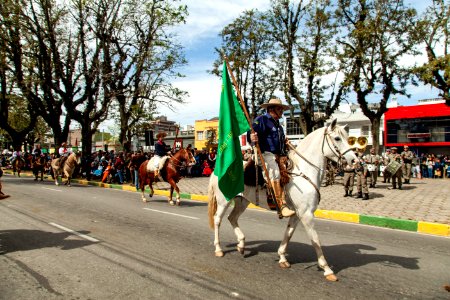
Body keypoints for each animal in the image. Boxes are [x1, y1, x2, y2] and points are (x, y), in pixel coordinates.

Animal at [208, 119, 358, 282]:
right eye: (337, 138)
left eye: (348, 138)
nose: (354, 160)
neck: (303, 171)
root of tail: (217, 171)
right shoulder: (306, 214)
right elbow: (315, 240)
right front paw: (327, 269)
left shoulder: (297, 214)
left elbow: (289, 233)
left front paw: (282, 257)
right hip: (223, 201)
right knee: (218, 220)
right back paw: (218, 248)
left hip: (242, 201)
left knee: (232, 218)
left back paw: (241, 244)